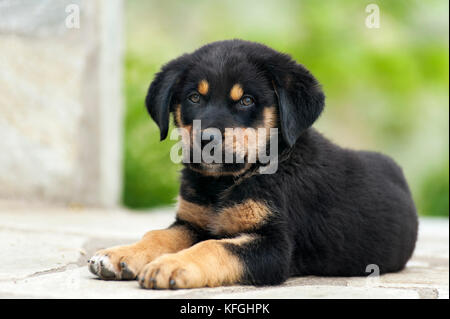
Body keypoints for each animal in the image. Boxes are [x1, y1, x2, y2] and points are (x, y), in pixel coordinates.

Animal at [89, 39, 418, 290]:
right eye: (194, 97)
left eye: (246, 100)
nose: (206, 139)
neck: (225, 183)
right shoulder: (193, 222)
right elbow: (159, 235)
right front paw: (119, 255)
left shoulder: (273, 247)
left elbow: (214, 247)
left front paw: (171, 265)